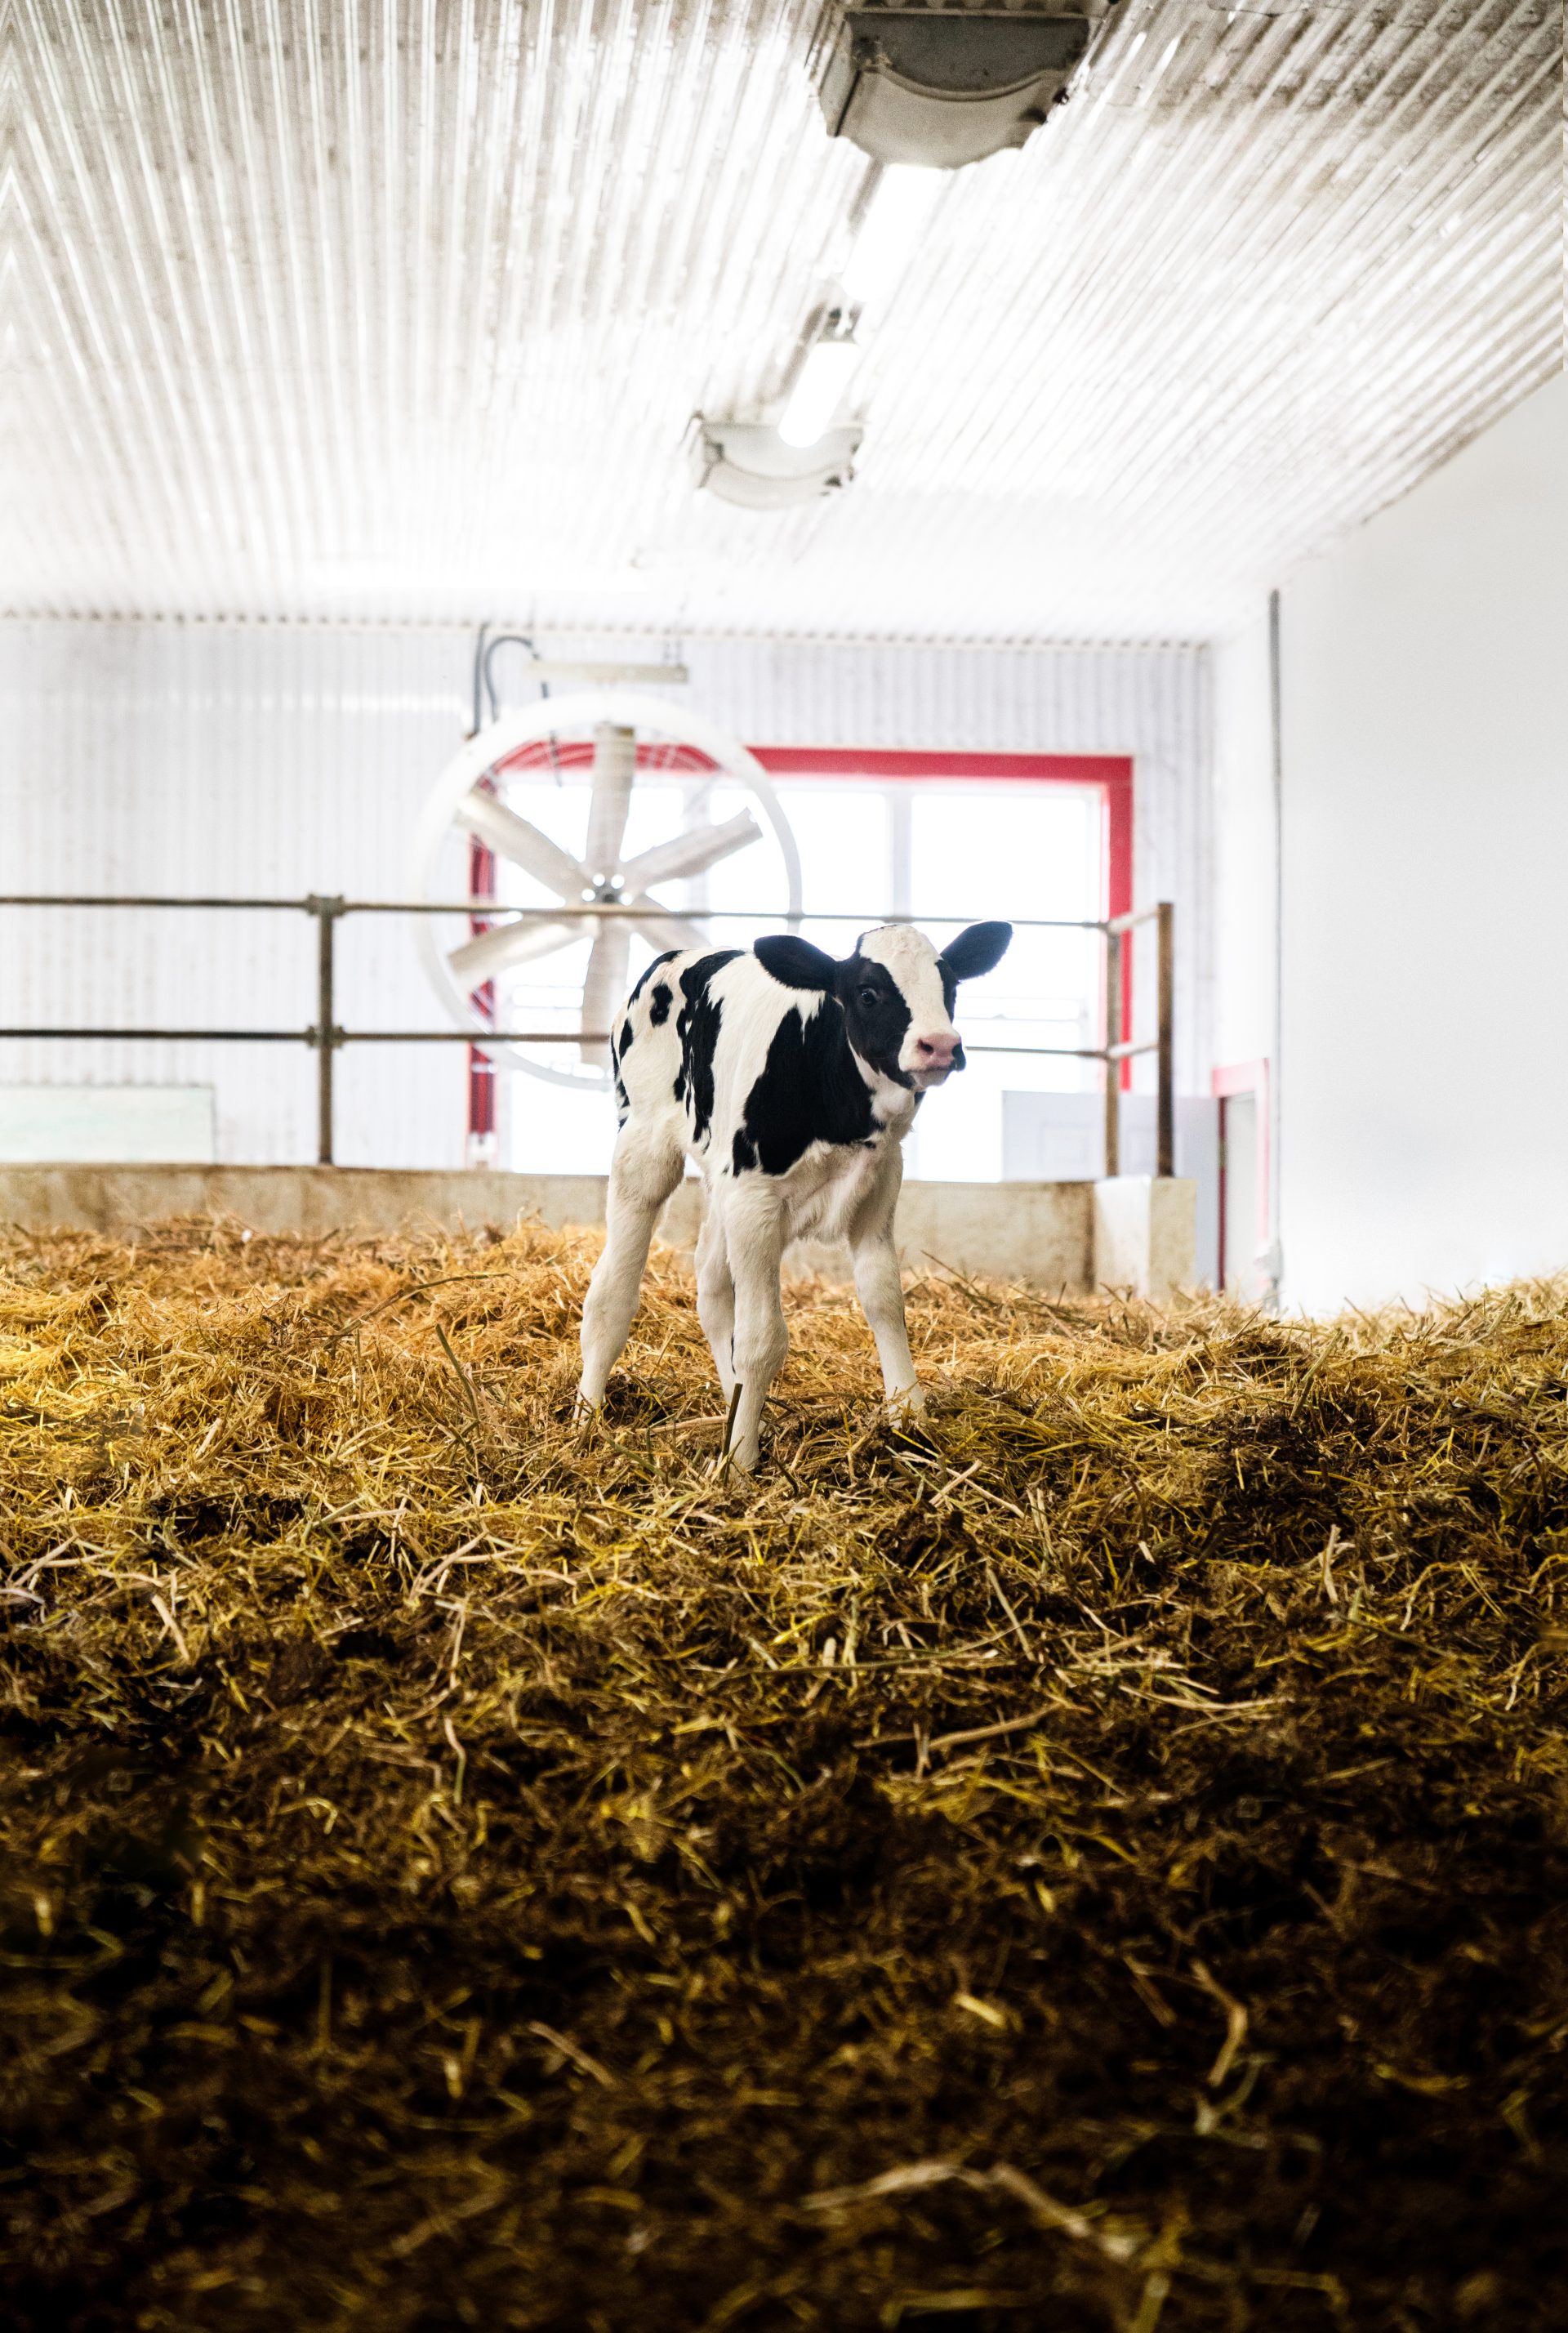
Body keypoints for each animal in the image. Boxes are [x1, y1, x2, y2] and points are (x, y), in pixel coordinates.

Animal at [581, 919, 1013, 1465]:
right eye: (867, 992)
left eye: (950, 987)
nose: (939, 1044)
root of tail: (676, 958)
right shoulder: (756, 1201)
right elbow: (762, 1338)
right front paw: (741, 1463)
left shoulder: (878, 1185)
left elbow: (885, 1302)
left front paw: (909, 1420)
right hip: (645, 1147)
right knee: (611, 1294)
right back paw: (585, 1421)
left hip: (721, 1176)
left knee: (712, 1286)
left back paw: (735, 1404)